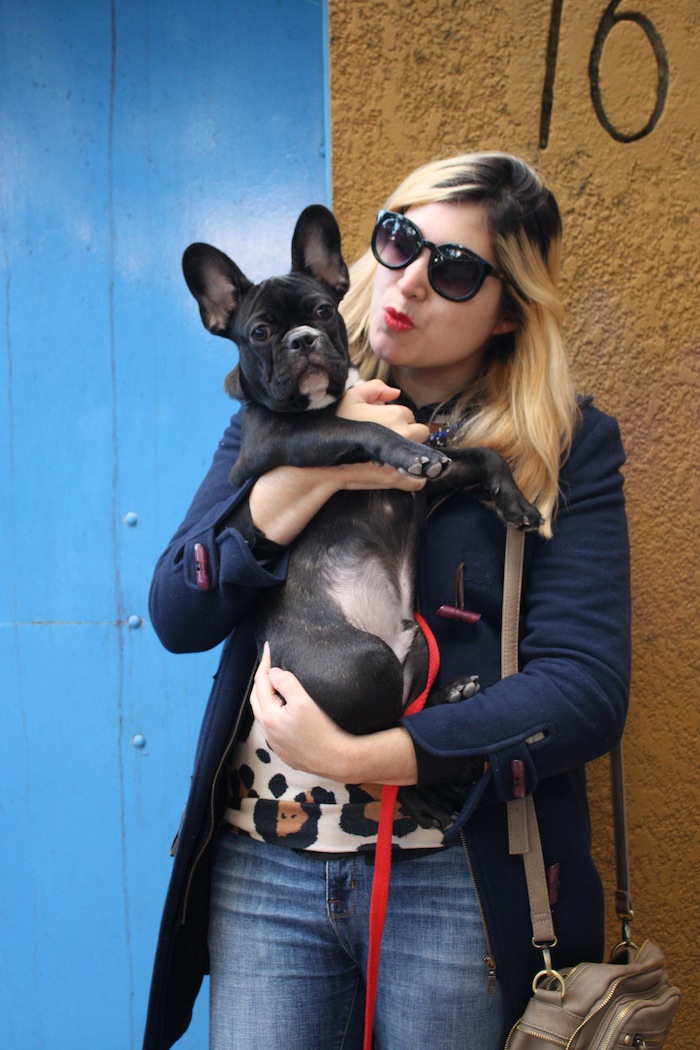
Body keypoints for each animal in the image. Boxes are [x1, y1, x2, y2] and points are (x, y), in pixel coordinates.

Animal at [182, 205, 540, 739]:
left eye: (323, 312)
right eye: (261, 333)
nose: (302, 339)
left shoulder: (438, 474)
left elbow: (482, 456)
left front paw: (516, 504)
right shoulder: (277, 438)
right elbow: (358, 426)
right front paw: (402, 449)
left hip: (417, 643)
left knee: (403, 709)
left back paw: (451, 690)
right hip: (361, 662)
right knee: (382, 723)